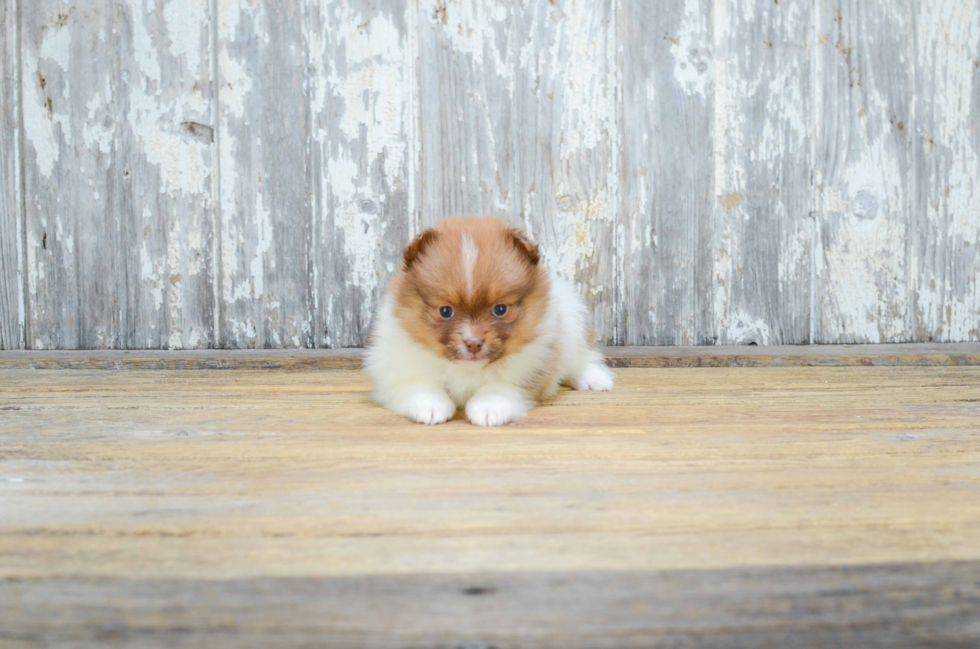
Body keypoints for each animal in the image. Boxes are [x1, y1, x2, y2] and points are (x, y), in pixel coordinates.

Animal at [368, 216, 612, 426]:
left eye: (500, 309)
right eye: (445, 311)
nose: (473, 343)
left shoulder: (529, 367)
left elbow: (499, 386)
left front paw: (487, 407)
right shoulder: (398, 368)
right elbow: (419, 385)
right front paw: (431, 406)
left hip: (572, 321)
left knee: (579, 359)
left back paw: (595, 379)